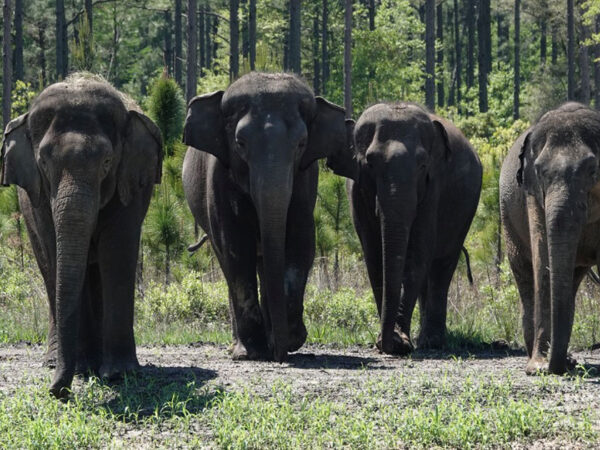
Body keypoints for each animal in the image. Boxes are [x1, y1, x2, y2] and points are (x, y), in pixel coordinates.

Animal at [0, 74, 163, 398]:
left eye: (107, 162)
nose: (57, 392)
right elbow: (57, 252)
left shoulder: (129, 184)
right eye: (44, 163)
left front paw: (120, 374)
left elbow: (117, 254)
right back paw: (57, 362)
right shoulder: (38, 197)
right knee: (49, 271)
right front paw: (84, 370)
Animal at [183, 73, 352, 362]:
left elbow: (300, 242)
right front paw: (253, 351)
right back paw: (238, 346)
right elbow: (236, 248)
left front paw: (291, 339)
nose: (280, 355)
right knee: (228, 263)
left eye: (301, 144)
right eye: (240, 144)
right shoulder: (219, 179)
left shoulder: (306, 179)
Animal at [326, 102, 480, 356]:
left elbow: (418, 251)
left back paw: (431, 342)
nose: (389, 343)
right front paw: (389, 341)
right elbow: (374, 254)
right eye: (370, 163)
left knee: (441, 266)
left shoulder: (433, 187)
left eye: (422, 164)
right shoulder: (356, 191)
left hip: (464, 213)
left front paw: (400, 343)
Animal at [500, 103, 600, 374]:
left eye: (593, 170)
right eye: (539, 171)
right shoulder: (532, 193)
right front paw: (538, 367)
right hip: (508, 222)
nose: (551, 368)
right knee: (524, 273)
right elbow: (542, 258)